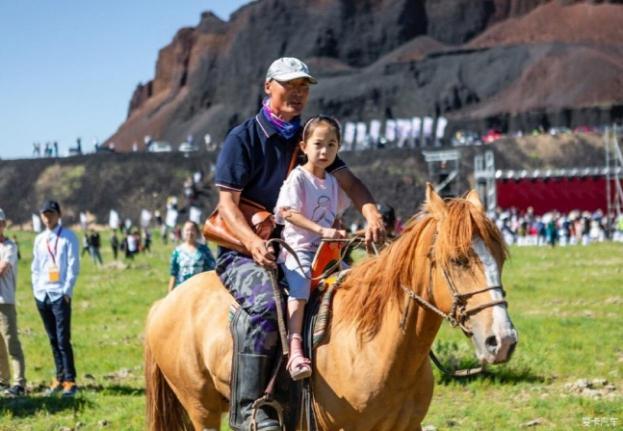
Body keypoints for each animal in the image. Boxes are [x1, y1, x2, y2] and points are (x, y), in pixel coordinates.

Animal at [145, 184, 516, 430]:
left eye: (500, 257)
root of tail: (165, 304)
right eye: (458, 259)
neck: (376, 345)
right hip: (201, 407)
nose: (502, 341)